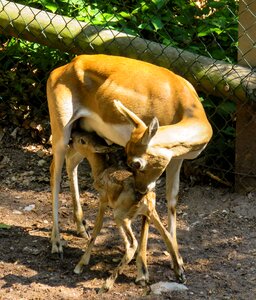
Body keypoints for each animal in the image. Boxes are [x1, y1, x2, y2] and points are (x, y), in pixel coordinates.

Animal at [46, 53, 212, 255]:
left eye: (136, 162)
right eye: (131, 161)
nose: (139, 189)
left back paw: (82, 228)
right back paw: (56, 243)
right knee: (55, 171)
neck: (182, 103)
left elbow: (172, 199)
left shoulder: (175, 160)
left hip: (85, 134)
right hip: (61, 131)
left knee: (71, 162)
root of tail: (65, 66)